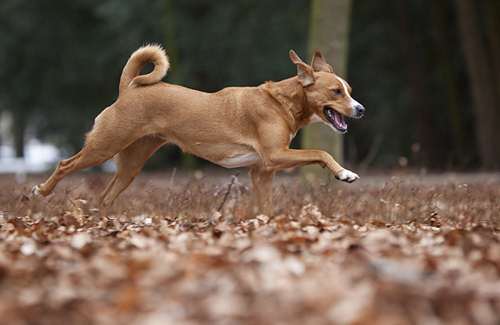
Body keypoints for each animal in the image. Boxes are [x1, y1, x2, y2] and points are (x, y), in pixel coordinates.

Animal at [33, 43, 366, 215]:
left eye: (349, 90)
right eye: (336, 91)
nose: (361, 109)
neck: (281, 101)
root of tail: (128, 89)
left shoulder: (262, 172)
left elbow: (265, 208)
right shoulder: (275, 155)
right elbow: (321, 152)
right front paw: (344, 173)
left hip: (131, 165)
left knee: (105, 197)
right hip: (104, 147)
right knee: (65, 164)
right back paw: (42, 191)